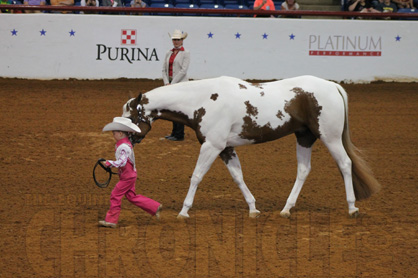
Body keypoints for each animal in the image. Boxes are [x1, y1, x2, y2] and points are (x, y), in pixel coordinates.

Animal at [122, 75, 380, 218]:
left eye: (131, 116)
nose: (125, 139)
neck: (202, 100)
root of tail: (332, 86)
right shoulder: (225, 149)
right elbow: (238, 177)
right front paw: (253, 209)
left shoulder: (211, 146)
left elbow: (196, 176)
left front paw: (184, 211)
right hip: (304, 137)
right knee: (303, 170)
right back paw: (286, 209)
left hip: (330, 136)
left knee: (345, 164)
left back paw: (352, 207)